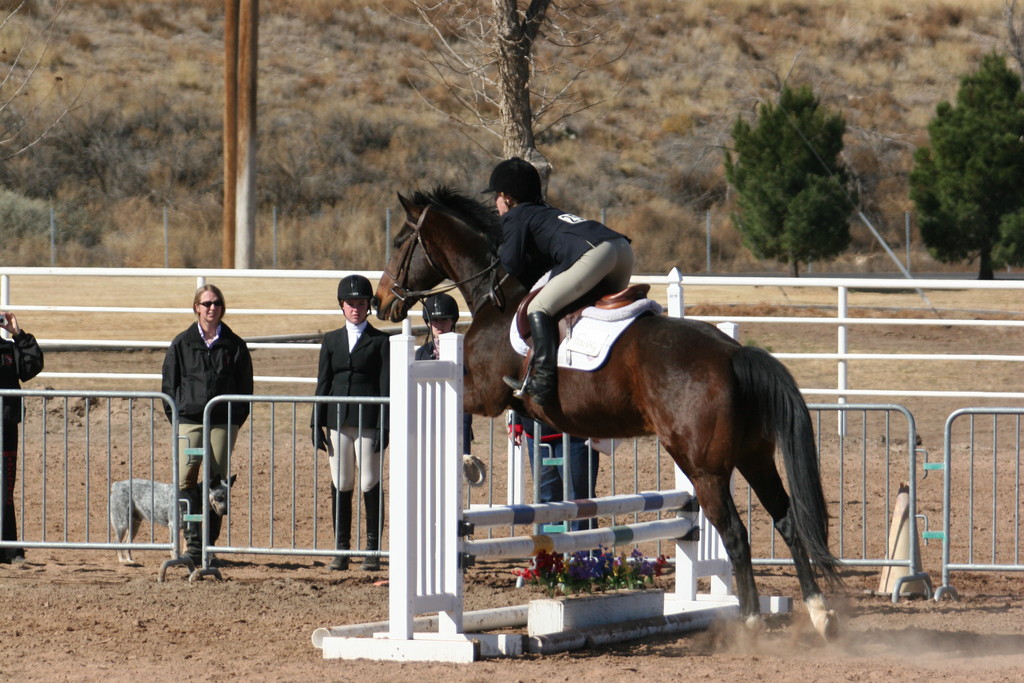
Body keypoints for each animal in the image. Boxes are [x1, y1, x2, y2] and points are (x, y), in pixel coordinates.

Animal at [376, 187, 839, 643]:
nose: (383, 303)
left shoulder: (485, 392)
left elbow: (462, 407)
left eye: (399, 241)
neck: (498, 296)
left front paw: (467, 461)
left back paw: (751, 623)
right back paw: (820, 615)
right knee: (786, 521)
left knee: (735, 534)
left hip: (704, 467)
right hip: (753, 455)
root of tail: (732, 353)